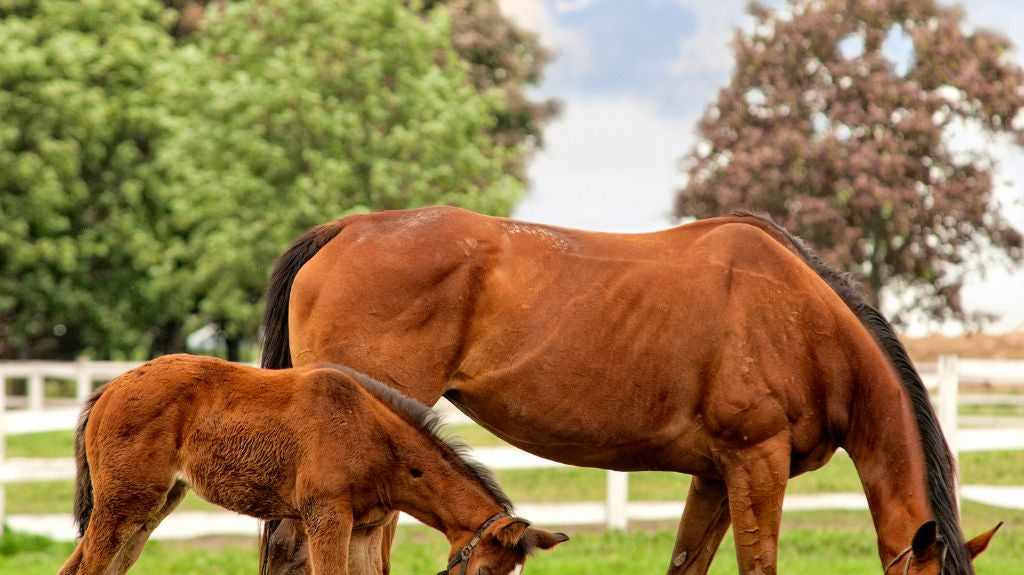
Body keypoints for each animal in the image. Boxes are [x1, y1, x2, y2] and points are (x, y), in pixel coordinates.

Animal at [57, 354, 568, 575]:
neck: (374, 440)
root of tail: (110, 387)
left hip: (152, 506)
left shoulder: (363, 530)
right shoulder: (327, 517)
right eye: (483, 572)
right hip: (124, 502)